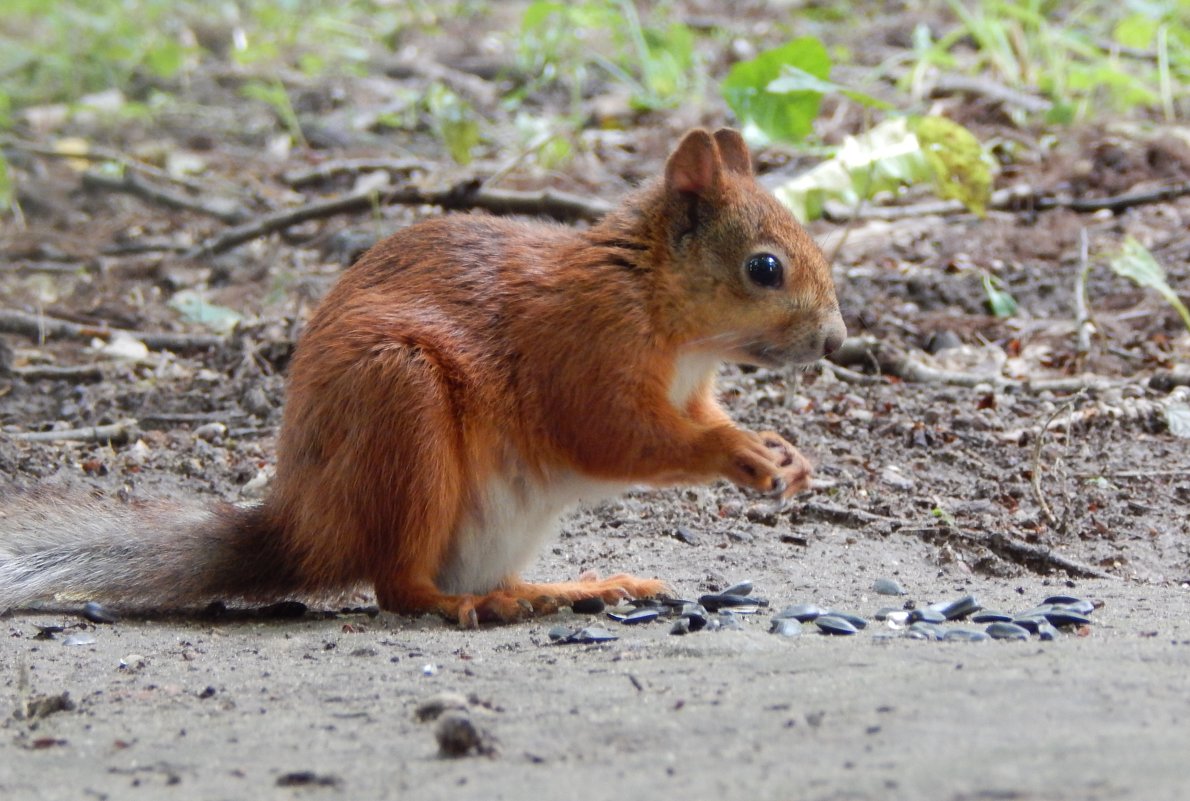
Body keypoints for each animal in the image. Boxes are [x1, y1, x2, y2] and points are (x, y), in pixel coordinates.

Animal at [0, 127, 847, 623]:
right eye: (764, 267)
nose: (836, 340)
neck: (672, 321)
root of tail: (300, 531)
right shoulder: (583, 352)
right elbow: (616, 436)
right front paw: (735, 452)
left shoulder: (690, 389)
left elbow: (699, 419)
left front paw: (783, 451)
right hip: (401, 415)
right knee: (395, 584)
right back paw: (470, 606)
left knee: (473, 576)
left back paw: (567, 589)